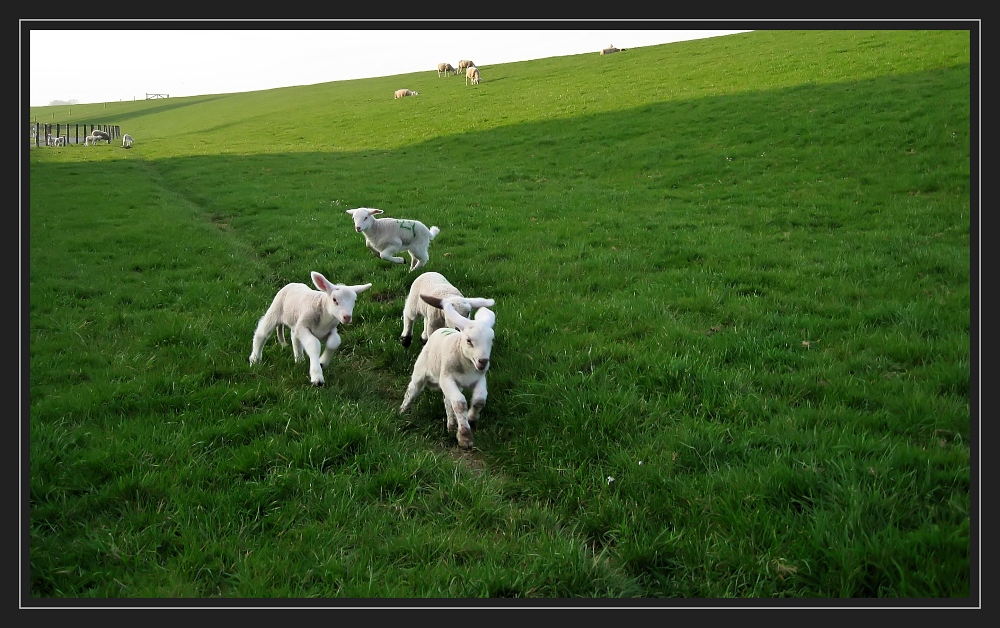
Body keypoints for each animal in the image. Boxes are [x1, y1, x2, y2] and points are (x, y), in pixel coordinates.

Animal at [396, 296, 494, 448]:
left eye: (491, 340)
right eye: (469, 341)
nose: (483, 361)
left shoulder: (479, 379)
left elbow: (479, 401)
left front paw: (471, 420)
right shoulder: (447, 378)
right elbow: (460, 403)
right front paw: (465, 436)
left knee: (448, 401)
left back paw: (452, 424)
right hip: (421, 371)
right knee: (412, 390)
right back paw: (403, 410)